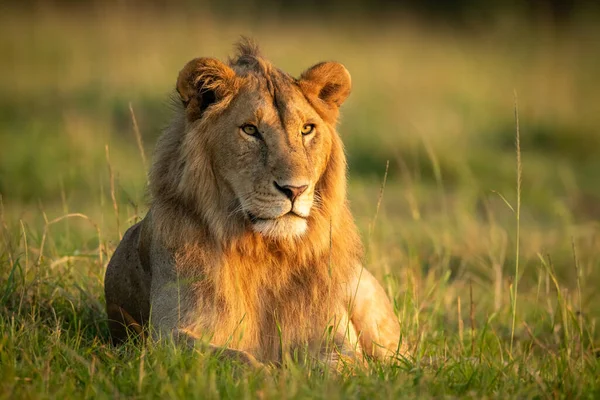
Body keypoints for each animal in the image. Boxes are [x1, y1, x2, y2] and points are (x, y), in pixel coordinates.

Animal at [104, 39, 408, 368]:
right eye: (250, 130)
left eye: (306, 129)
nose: (295, 189)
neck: (268, 253)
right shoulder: (168, 335)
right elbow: (237, 361)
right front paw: (273, 374)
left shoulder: (333, 334)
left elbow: (342, 363)